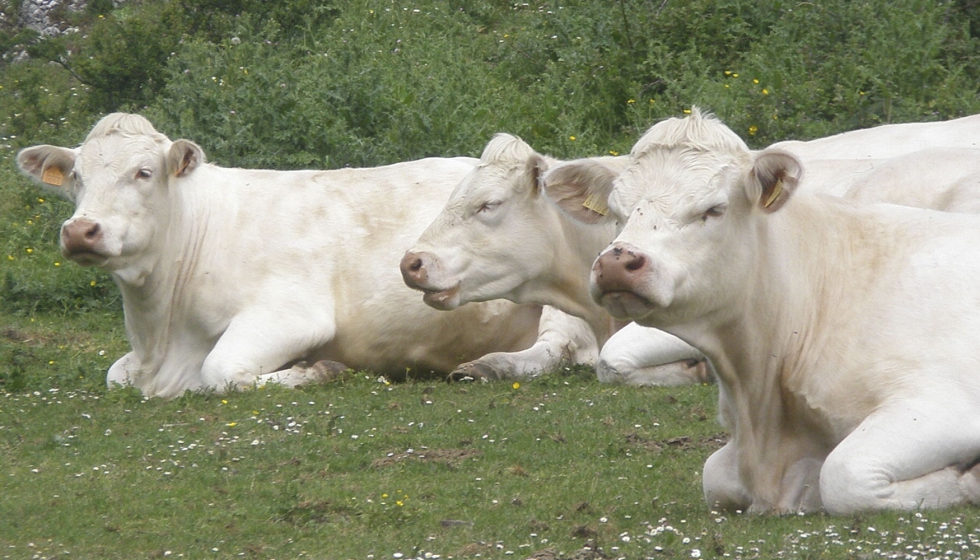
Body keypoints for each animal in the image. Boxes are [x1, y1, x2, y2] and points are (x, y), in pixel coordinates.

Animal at [15, 111, 592, 398]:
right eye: (76, 176)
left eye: (143, 172)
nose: (81, 231)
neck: (161, 334)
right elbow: (114, 373)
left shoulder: (291, 314)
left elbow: (220, 371)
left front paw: (319, 370)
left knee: (556, 350)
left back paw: (489, 365)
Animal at [560, 107, 980, 516]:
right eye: (618, 213)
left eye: (714, 209)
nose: (616, 263)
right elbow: (715, 476)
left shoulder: (943, 402)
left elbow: (844, 475)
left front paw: (966, 482)